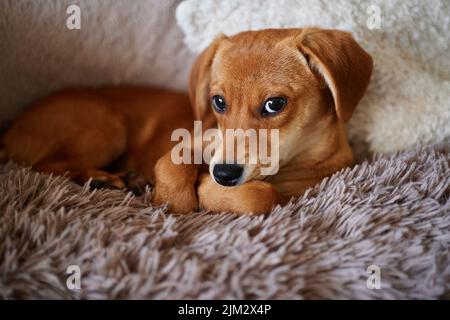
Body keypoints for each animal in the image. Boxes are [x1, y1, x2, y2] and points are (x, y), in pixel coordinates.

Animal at [0, 28, 372, 215]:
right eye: (218, 102)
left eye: (274, 104)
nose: (223, 174)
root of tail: (11, 128)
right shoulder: (195, 144)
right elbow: (171, 165)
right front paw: (176, 199)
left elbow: (261, 198)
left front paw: (207, 189)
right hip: (105, 127)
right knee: (47, 165)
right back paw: (102, 180)